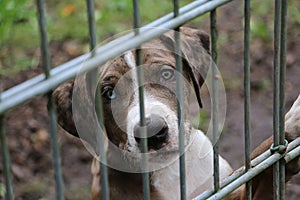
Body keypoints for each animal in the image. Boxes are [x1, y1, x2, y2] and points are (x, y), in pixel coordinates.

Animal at [52, 27, 298, 199]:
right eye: (109, 93)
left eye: (166, 74)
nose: (152, 132)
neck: (170, 171)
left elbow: (260, 166)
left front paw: (291, 124)